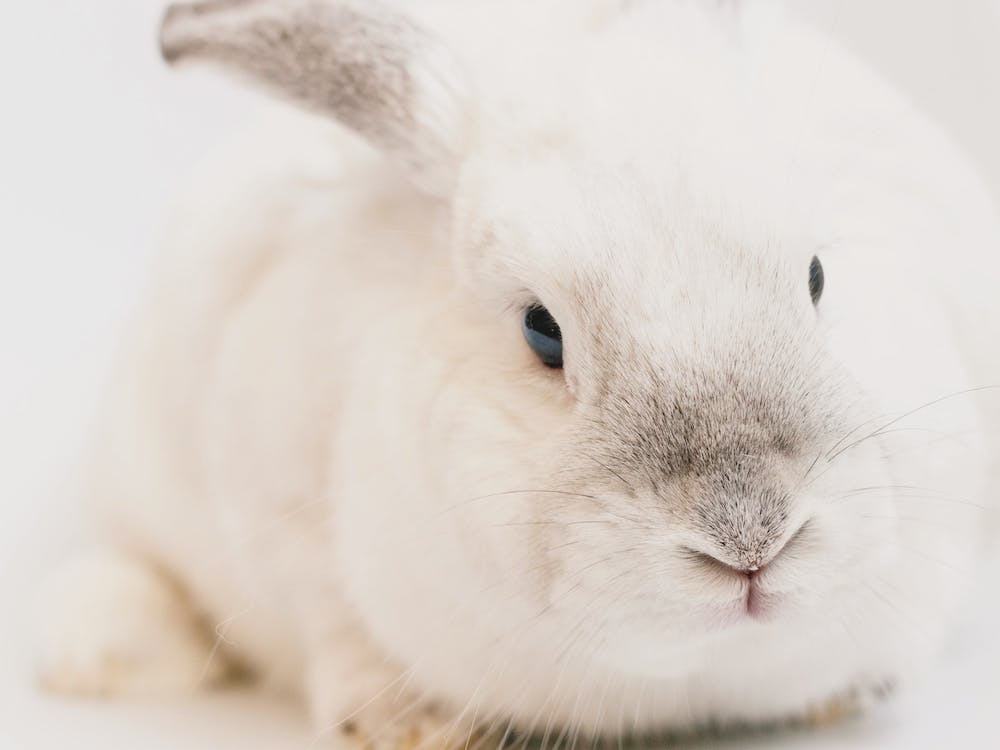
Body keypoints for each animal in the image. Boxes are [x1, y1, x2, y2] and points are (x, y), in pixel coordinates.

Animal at [38, 0, 1000, 746]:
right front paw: (409, 724)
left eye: (817, 276)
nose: (750, 538)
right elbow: (335, 626)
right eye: (543, 331)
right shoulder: (277, 508)